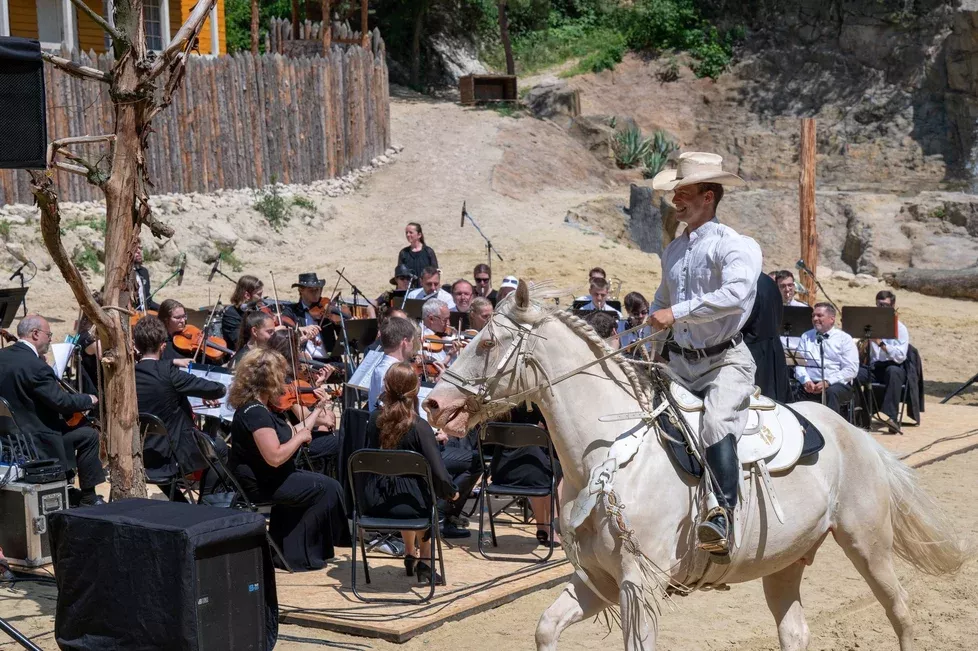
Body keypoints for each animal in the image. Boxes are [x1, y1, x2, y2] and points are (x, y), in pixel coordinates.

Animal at [424, 282, 964, 651]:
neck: (605, 460)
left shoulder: (639, 587)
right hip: (785, 564)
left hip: (868, 546)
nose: (433, 404)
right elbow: (545, 628)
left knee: (901, 612)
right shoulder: (597, 583)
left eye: (487, 344)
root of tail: (856, 435)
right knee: (795, 633)